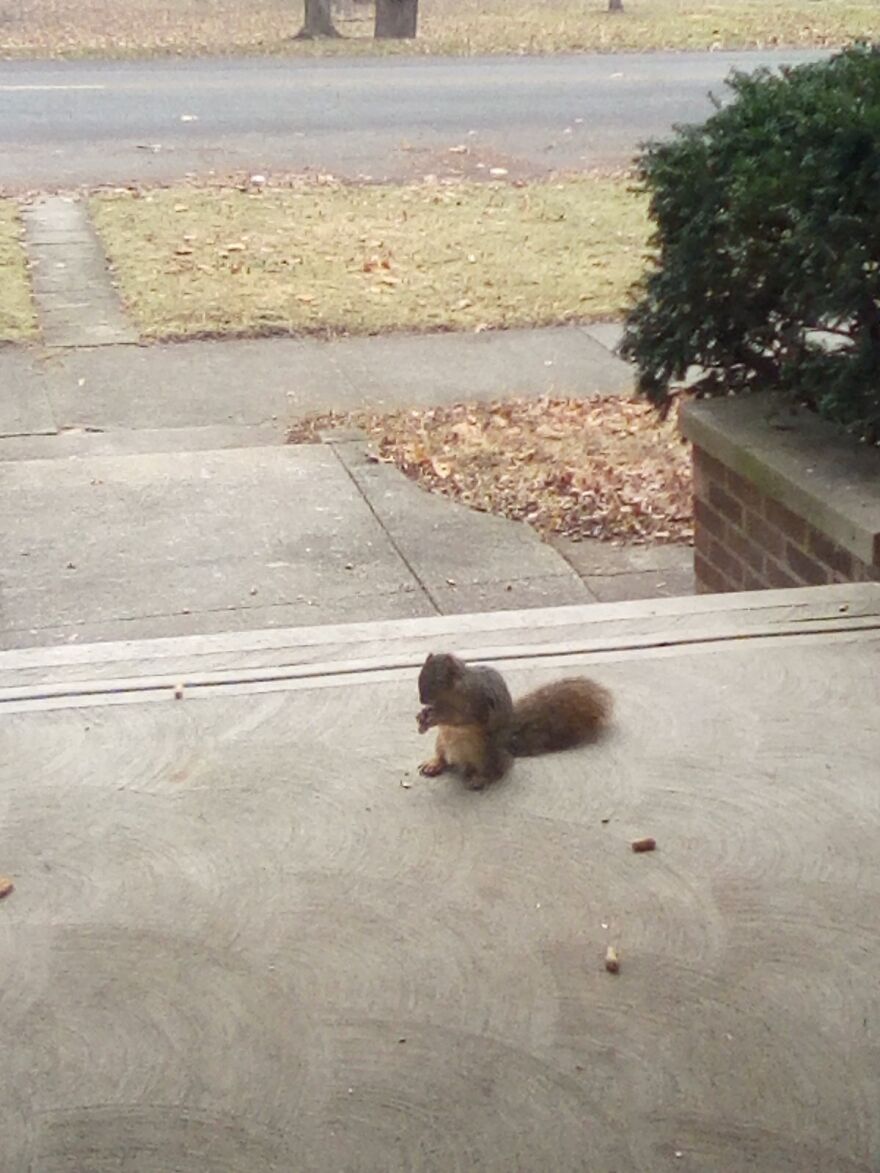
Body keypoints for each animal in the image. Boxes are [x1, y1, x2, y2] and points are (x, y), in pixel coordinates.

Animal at [416, 652, 612, 790]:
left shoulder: (475, 702)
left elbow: (459, 717)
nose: (422, 699)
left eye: (437, 680)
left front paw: (433, 718)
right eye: (420, 675)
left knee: (497, 771)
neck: (452, 692)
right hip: (442, 742)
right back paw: (433, 764)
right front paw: (423, 716)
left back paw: (480, 779)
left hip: (486, 752)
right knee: (443, 758)